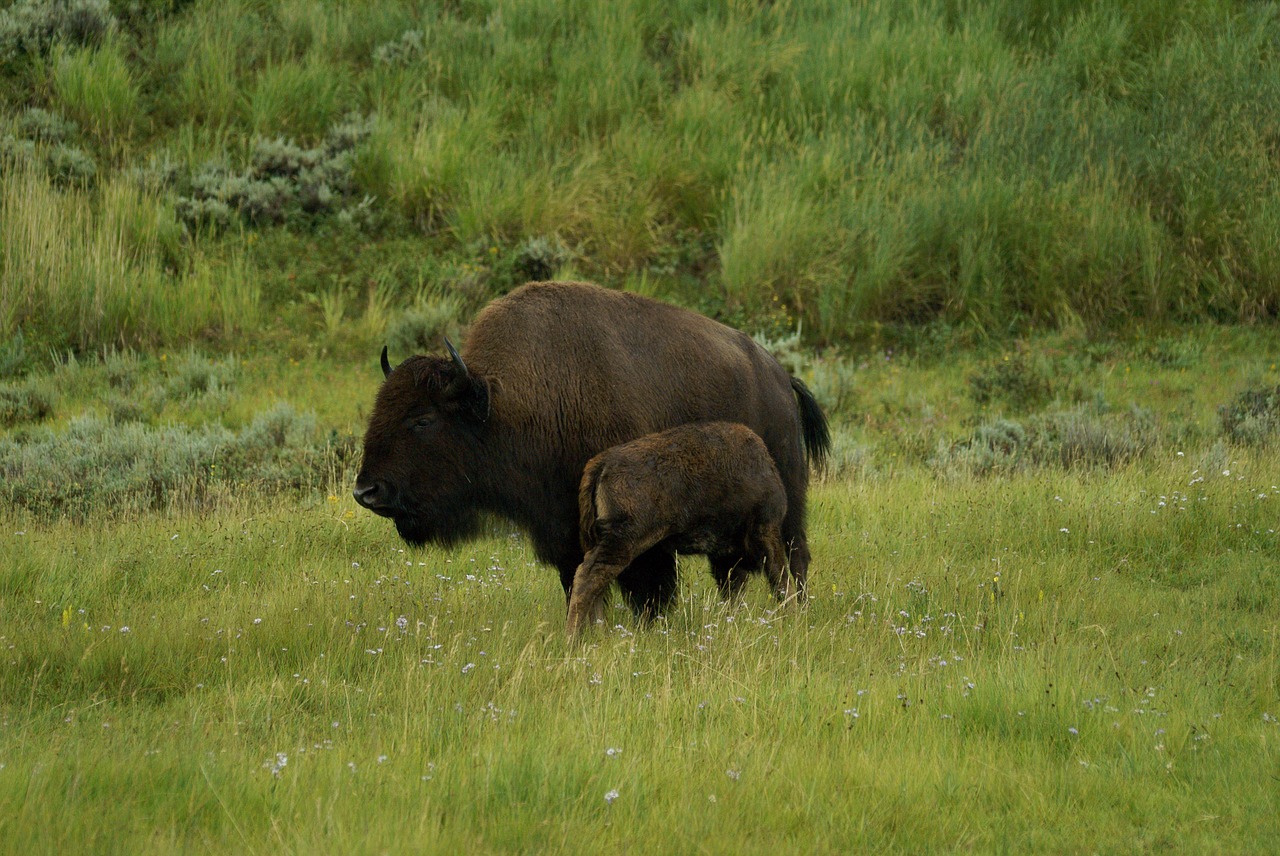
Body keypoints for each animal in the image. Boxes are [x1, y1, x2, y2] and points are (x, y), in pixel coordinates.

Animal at [568, 419, 788, 634]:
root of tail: (601, 463)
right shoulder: (765, 532)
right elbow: (780, 579)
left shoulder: (726, 557)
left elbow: (735, 592)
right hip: (622, 542)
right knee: (588, 577)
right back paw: (574, 637)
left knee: (596, 586)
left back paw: (597, 633)